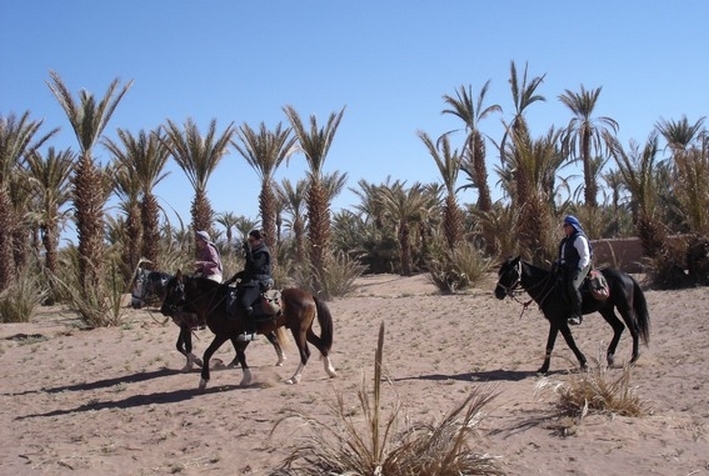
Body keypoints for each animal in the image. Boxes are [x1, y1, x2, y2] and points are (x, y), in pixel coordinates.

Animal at [160, 270, 338, 388]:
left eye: (175, 289)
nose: (163, 309)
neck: (217, 301)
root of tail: (309, 295)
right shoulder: (233, 335)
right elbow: (241, 354)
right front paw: (246, 378)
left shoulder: (223, 334)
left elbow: (208, 353)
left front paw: (203, 379)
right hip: (306, 331)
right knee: (321, 346)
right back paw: (330, 371)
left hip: (298, 331)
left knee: (305, 353)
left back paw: (294, 378)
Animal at [496, 256, 648, 376]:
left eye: (508, 273)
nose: (497, 292)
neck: (549, 288)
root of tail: (627, 276)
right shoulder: (555, 321)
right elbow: (551, 344)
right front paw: (544, 368)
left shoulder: (559, 321)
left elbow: (569, 342)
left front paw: (583, 363)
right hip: (606, 310)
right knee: (619, 327)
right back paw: (610, 357)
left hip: (625, 308)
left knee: (634, 330)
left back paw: (633, 358)